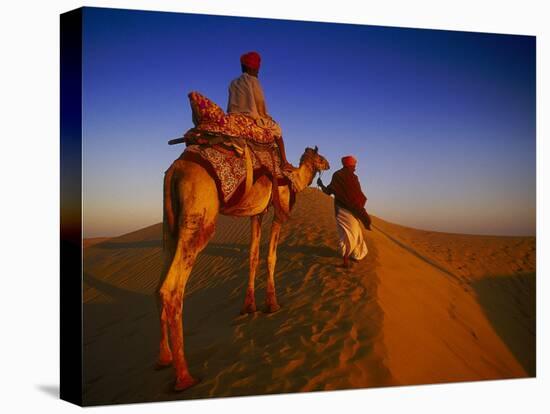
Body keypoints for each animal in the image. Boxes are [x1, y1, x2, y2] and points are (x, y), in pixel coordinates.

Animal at [155, 146, 330, 392]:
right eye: (320, 158)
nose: (329, 164)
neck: (293, 178)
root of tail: (174, 170)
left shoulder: (257, 213)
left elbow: (253, 255)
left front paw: (249, 307)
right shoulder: (279, 212)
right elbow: (271, 256)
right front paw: (272, 305)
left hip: (169, 221)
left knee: (159, 286)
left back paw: (164, 359)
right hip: (198, 217)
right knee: (172, 289)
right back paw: (184, 377)